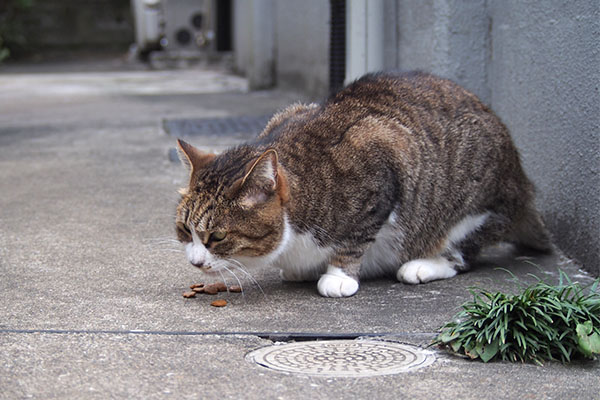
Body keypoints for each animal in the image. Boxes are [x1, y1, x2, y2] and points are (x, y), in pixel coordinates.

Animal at [172, 71, 548, 296]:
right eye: (184, 230)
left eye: (218, 237)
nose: (195, 263)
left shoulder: (383, 162)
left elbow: (355, 238)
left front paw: (338, 276)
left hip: (476, 208)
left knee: (461, 255)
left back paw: (423, 264)